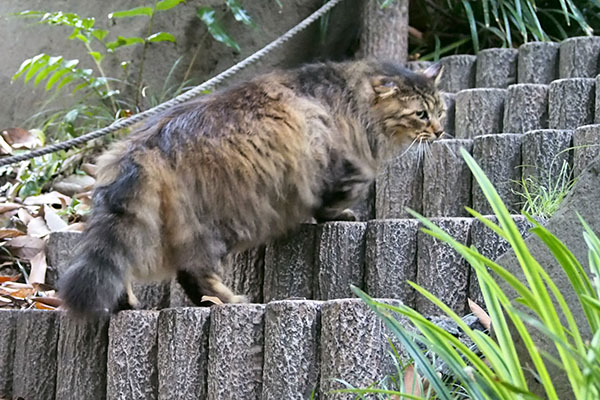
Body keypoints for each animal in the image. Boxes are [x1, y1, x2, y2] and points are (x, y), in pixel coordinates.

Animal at [58, 60, 446, 316]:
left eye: (440, 109)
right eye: (421, 115)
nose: (441, 132)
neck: (350, 95)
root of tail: (144, 145)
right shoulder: (343, 163)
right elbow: (338, 195)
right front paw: (340, 213)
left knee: (126, 264)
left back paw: (125, 303)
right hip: (219, 222)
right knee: (193, 271)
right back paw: (228, 302)